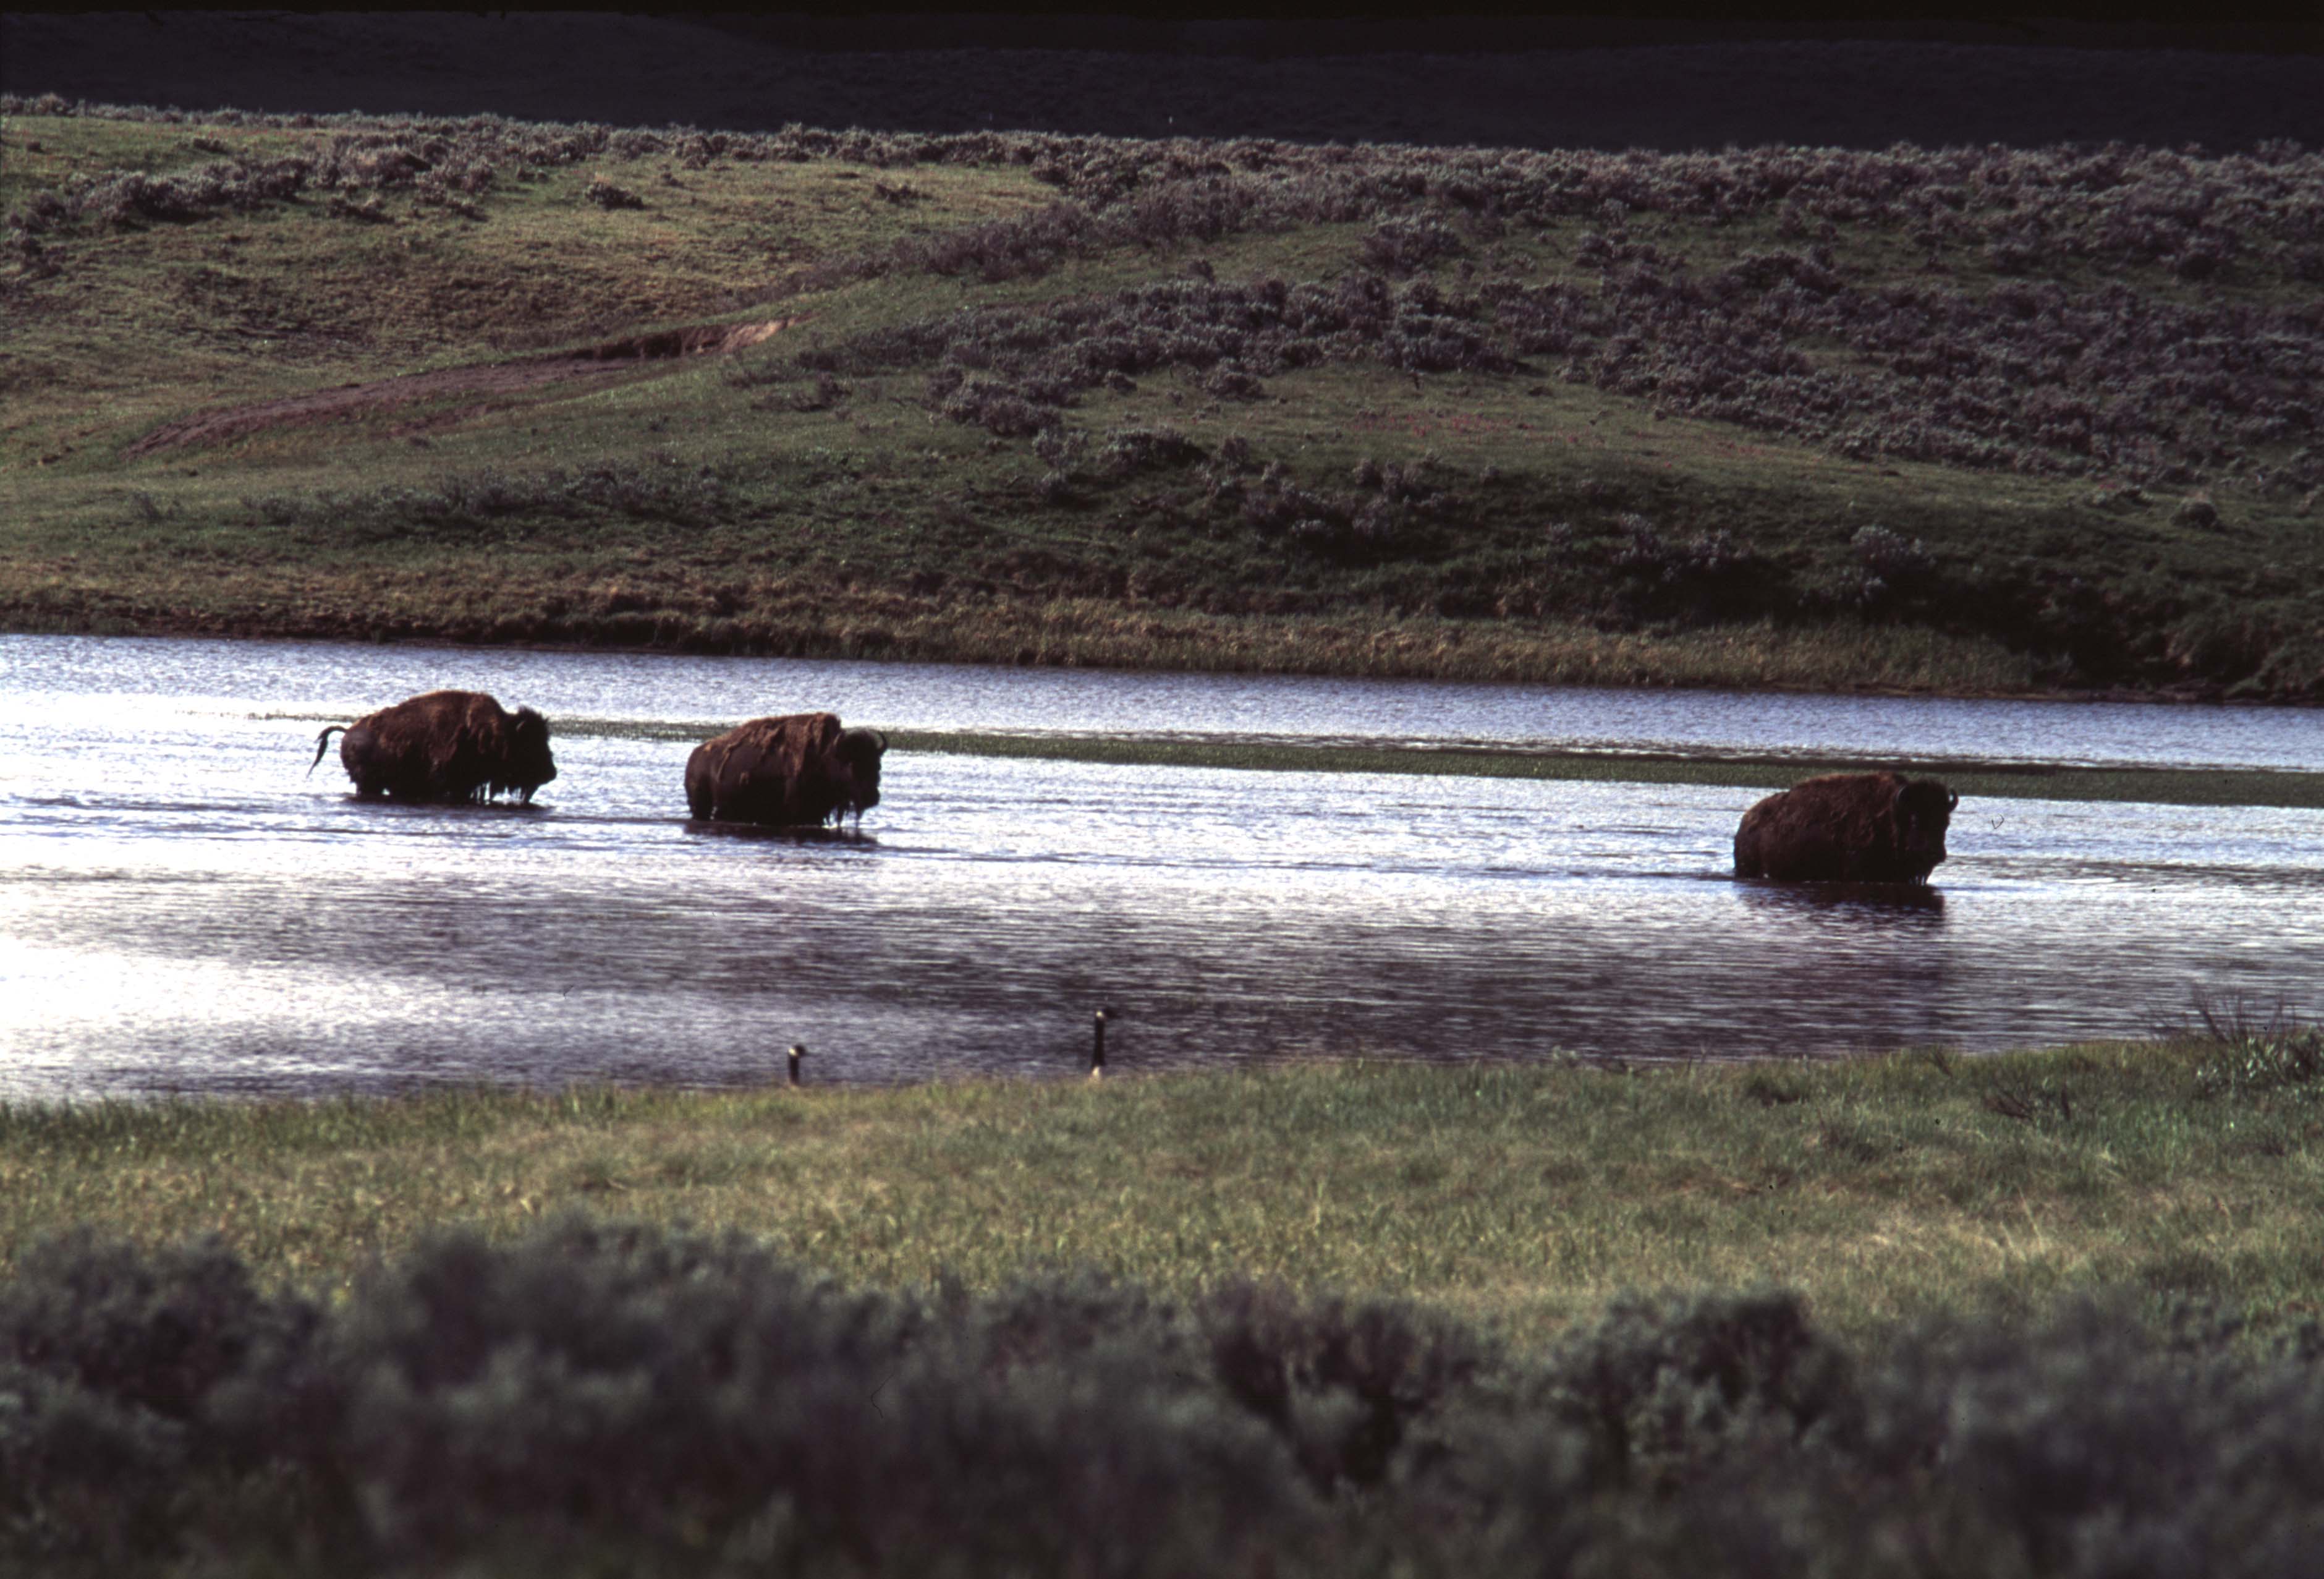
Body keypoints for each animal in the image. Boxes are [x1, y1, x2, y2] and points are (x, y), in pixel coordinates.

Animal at [685, 712, 887, 827]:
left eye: (878, 765)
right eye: (852, 764)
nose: (872, 797)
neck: (827, 756)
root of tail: (695, 757)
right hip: (702, 806)